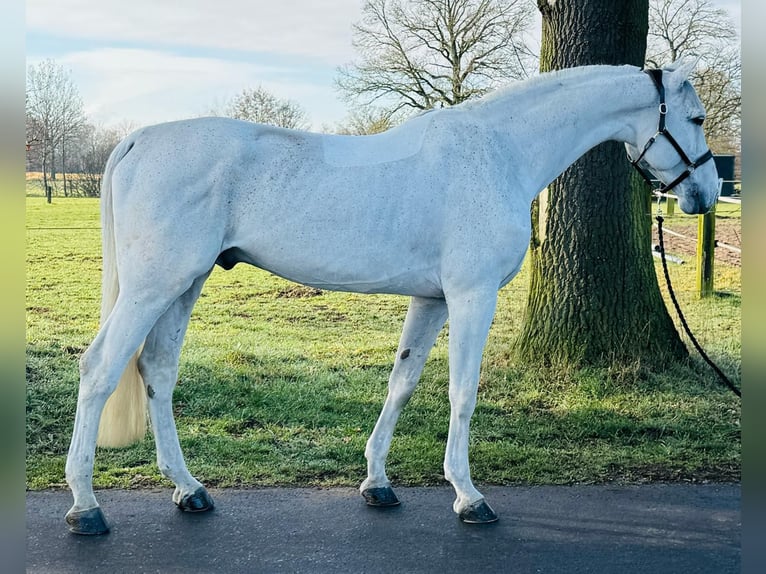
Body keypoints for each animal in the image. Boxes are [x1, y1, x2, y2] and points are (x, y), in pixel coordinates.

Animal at [64, 62, 720, 536]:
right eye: (695, 116)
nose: (706, 194)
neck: (498, 153)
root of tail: (140, 139)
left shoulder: (432, 300)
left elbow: (401, 383)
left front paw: (378, 484)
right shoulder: (471, 295)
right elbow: (462, 392)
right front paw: (469, 496)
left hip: (185, 284)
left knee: (157, 371)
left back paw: (189, 490)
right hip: (152, 288)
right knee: (99, 369)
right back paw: (85, 507)